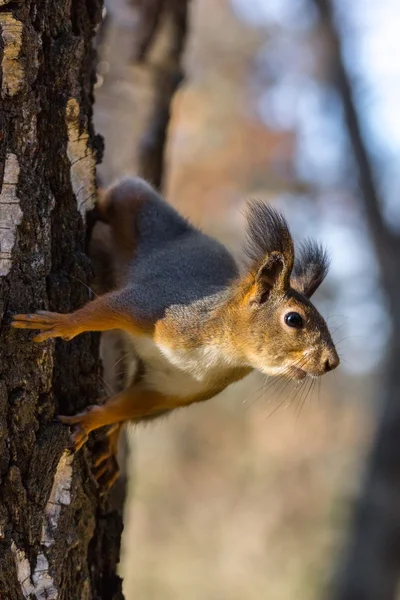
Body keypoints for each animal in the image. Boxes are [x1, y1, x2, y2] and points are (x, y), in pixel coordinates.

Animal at [11, 176, 338, 490]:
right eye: (294, 319)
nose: (331, 362)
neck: (220, 350)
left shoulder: (172, 387)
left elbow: (131, 403)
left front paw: (92, 420)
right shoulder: (157, 307)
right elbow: (104, 310)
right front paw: (61, 323)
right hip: (143, 212)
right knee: (121, 194)